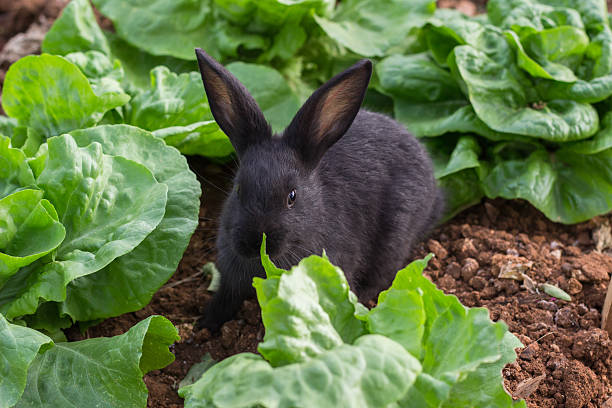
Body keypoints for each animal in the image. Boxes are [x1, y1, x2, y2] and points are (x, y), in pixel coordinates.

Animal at [196, 48, 444, 332]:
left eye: (292, 196)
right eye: (238, 189)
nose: (255, 242)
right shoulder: (230, 278)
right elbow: (225, 298)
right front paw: (205, 324)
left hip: (396, 236)